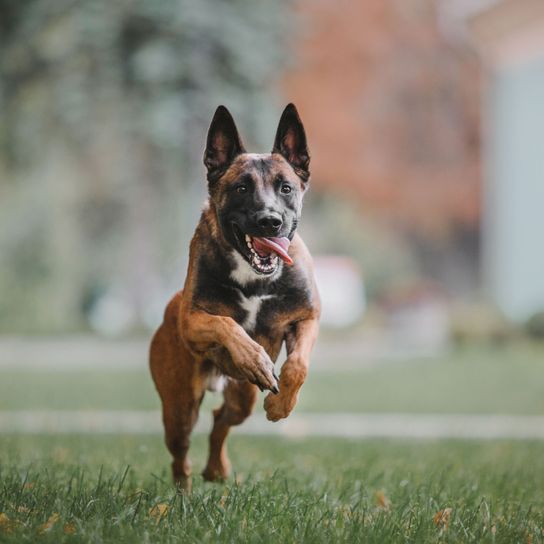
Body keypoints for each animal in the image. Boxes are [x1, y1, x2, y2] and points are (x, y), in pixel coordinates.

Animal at [149, 104, 318, 486]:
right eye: (241, 187)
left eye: (286, 188)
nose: (270, 221)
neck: (255, 276)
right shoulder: (192, 322)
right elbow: (227, 325)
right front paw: (253, 358)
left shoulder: (307, 317)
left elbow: (298, 366)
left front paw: (281, 405)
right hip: (179, 406)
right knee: (180, 453)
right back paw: (183, 490)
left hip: (242, 398)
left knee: (220, 421)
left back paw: (216, 469)